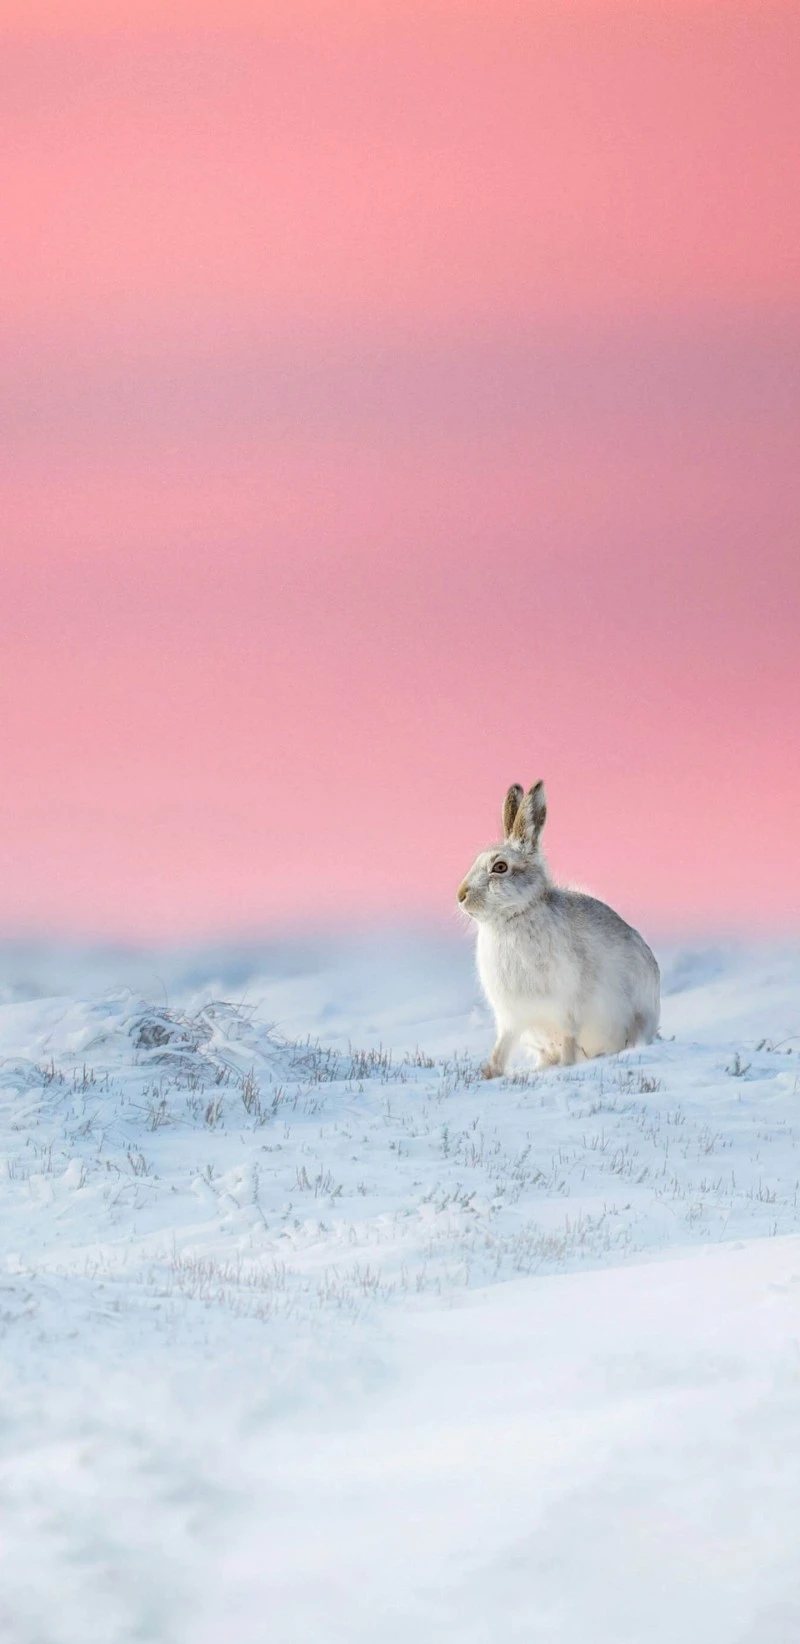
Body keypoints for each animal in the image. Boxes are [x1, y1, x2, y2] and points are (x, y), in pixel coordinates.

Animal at [457, 781, 660, 1077]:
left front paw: (566, 1066)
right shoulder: (512, 1019)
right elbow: (501, 1049)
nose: (460, 896)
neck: (515, 916)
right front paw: (489, 1074)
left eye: (500, 867)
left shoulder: (567, 1009)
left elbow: (568, 1042)